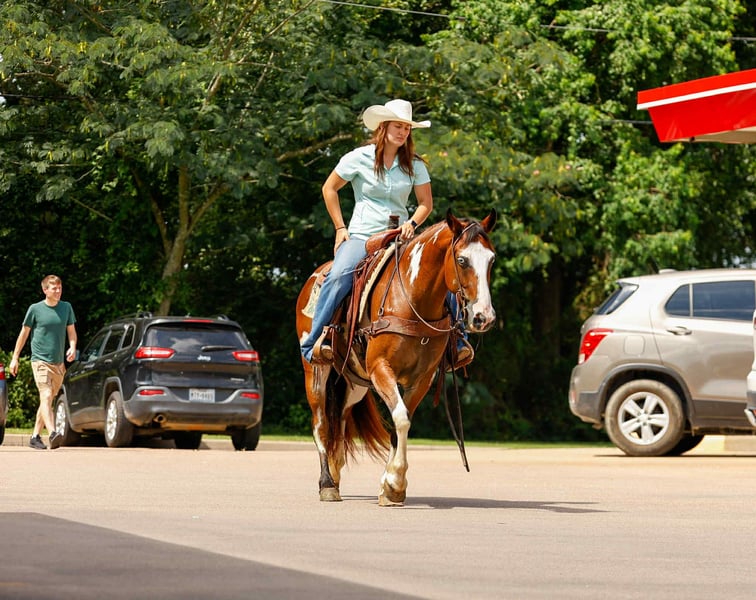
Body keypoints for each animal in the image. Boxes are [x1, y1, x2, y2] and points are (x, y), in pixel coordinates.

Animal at [295, 209, 497, 505]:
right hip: (316, 372)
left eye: (491, 260)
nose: (484, 317)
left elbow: (399, 424)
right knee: (321, 423)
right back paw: (327, 484)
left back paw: (336, 473)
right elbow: (401, 417)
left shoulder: (422, 378)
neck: (412, 299)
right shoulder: (381, 368)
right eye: (462, 260)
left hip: (354, 382)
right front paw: (394, 482)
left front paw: (390, 488)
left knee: (340, 422)